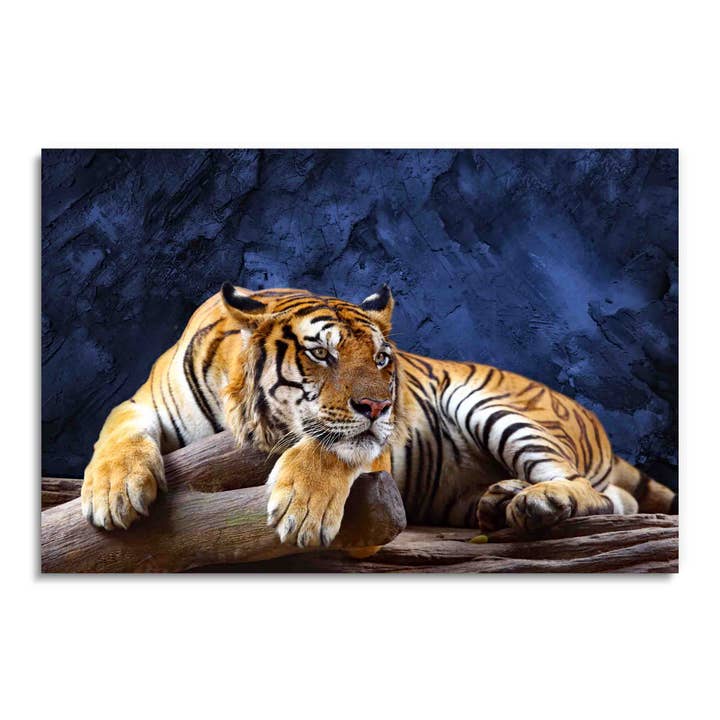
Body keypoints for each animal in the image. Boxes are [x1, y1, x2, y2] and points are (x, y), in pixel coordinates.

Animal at [80, 282, 677, 548]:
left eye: (382, 358)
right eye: (321, 353)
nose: (380, 405)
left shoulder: (371, 443)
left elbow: (333, 447)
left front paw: (302, 510)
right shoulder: (141, 403)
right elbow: (116, 433)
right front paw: (114, 493)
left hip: (494, 406)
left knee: (589, 491)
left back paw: (537, 502)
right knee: (614, 498)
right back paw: (501, 499)